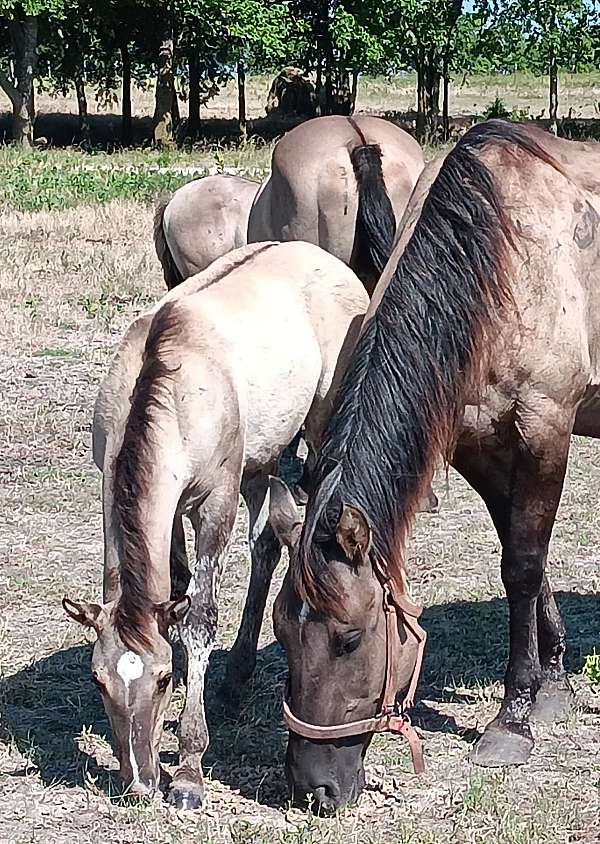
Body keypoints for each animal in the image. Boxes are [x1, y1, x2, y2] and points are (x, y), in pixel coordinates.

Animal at [63, 242, 368, 812]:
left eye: (161, 680)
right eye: (97, 681)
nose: (140, 782)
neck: (168, 390)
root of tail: (322, 256)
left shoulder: (213, 502)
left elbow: (200, 615)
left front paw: (187, 768)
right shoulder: (138, 497)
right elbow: (176, 590)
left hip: (314, 429)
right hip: (259, 458)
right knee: (267, 540)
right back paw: (236, 677)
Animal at [270, 118, 600, 812]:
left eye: (350, 638)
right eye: (282, 633)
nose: (314, 789)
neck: (496, 260)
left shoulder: (546, 428)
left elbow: (522, 566)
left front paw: (514, 718)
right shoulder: (477, 444)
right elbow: (525, 557)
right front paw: (554, 682)